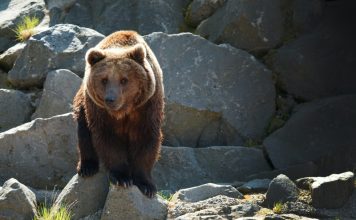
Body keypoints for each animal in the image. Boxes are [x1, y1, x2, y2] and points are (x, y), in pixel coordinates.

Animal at [74, 31, 165, 198]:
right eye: (104, 80)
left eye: (124, 80)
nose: (110, 99)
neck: (123, 111)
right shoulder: (100, 112)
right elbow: (108, 139)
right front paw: (122, 178)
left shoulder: (147, 107)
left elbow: (146, 140)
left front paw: (146, 185)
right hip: (84, 102)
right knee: (83, 130)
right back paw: (87, 167)